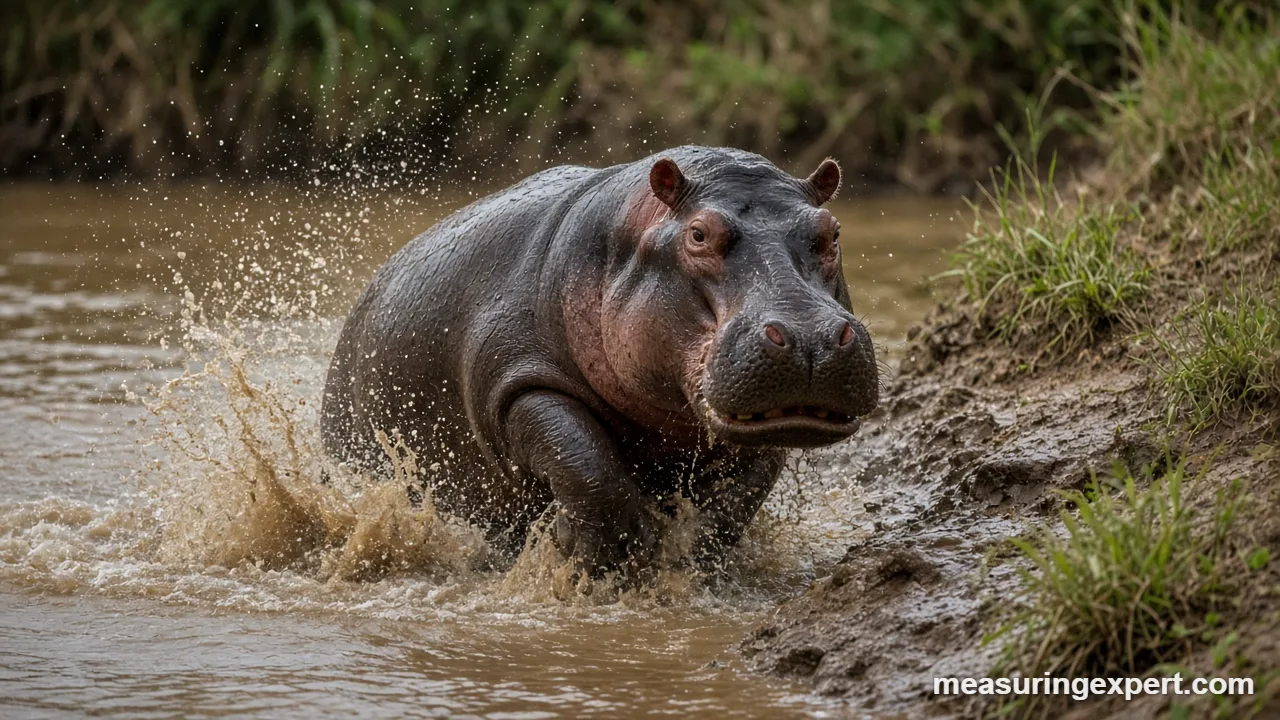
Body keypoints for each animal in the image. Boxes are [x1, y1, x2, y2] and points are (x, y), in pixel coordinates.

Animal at [320, 146, 879, 574]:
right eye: (699, 234)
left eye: (831, 232)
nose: (808, 336)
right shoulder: (519, 383)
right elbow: (586, 463)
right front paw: (597, 553)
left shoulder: (754, 421)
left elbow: (737, 500)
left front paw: (688, 557)